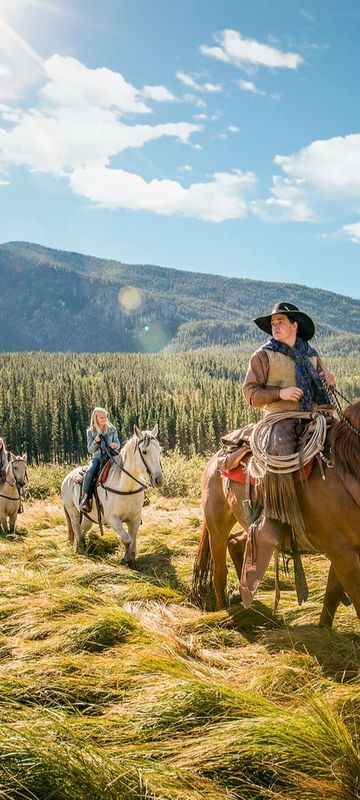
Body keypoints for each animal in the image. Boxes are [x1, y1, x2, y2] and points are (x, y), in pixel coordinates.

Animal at [61, 424, 163, 564]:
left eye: (160, 450)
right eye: (144, 451)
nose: (159, 480)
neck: (126, 487)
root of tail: (66, 478)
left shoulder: (135, 518)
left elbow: (133, 538)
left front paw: (131, 557)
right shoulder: (113, 519)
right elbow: (127, 539)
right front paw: (125, 559)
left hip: (88, 517)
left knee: (82, 530)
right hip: (73, 512)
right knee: (76, 529)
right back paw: (80, 550)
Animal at [194, 404, 360, 628]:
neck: (346, 469)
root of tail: (216, 457)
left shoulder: (343, 553)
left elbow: (331, 596)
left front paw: (323, 631)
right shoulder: (342, 552)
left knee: (238, 543)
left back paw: (242, 595)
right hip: (217, 525)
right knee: (219, 572)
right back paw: (223, 612)